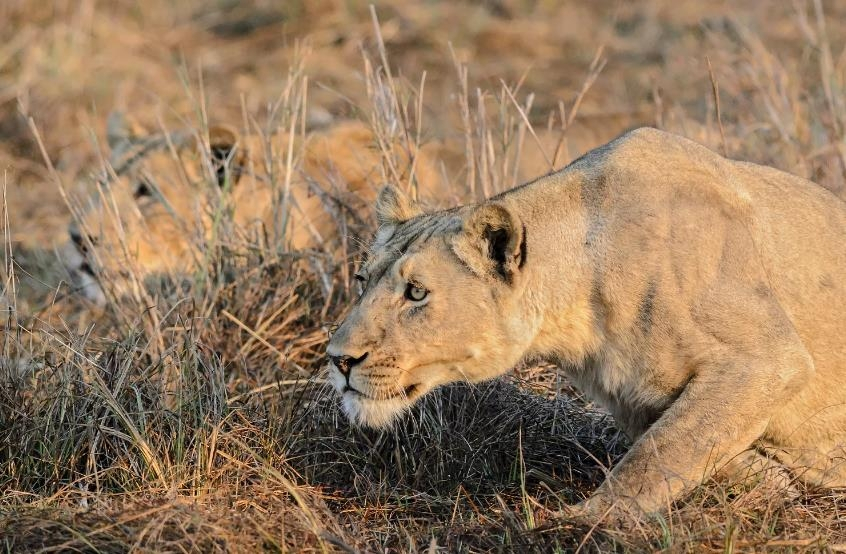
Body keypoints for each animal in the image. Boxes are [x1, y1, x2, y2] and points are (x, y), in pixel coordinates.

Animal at [328, 127, 846, 516]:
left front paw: (582, 523)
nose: (338, 360)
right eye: (361, 280)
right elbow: (686, 443)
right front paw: (777, 479)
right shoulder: (634, 399)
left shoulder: (769, 359)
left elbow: (660, 453)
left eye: (416, 292)